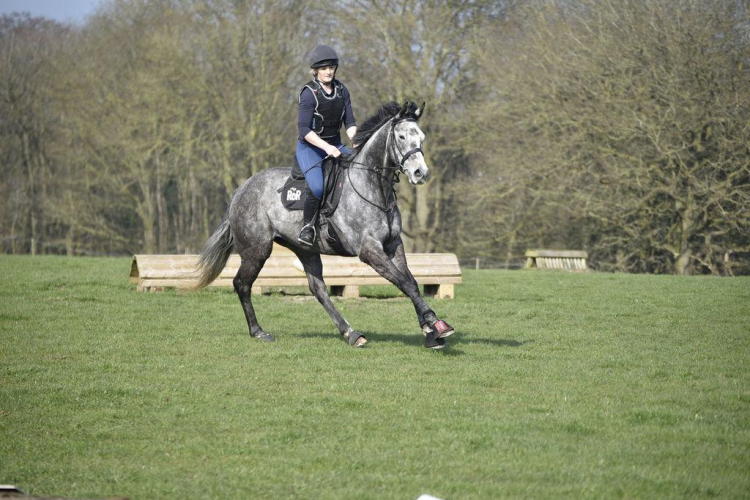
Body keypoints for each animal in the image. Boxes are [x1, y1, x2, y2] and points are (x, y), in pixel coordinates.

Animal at [193, 101, 454, 349]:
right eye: (401, 137)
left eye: (421, 138)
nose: (421, 173)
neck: (374, 187)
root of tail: (241, 190)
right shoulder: (369, 250)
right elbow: (403, 282)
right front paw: (437, 326)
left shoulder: (393, 245)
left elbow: (411, 282)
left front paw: (431, 328)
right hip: (257, 249)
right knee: (242, 284)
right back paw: (258, 331)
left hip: (305, 249)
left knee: (317, 289)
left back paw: (351, 334)